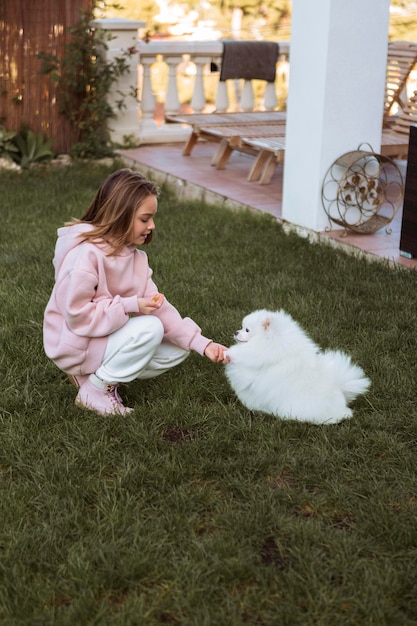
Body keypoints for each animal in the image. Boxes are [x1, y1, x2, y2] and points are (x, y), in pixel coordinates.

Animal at [224, 308, 370, 424]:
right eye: (242, 327)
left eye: (247, 330)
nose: (236, 332)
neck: (272, 343)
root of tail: (341, 403)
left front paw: (229, 353)